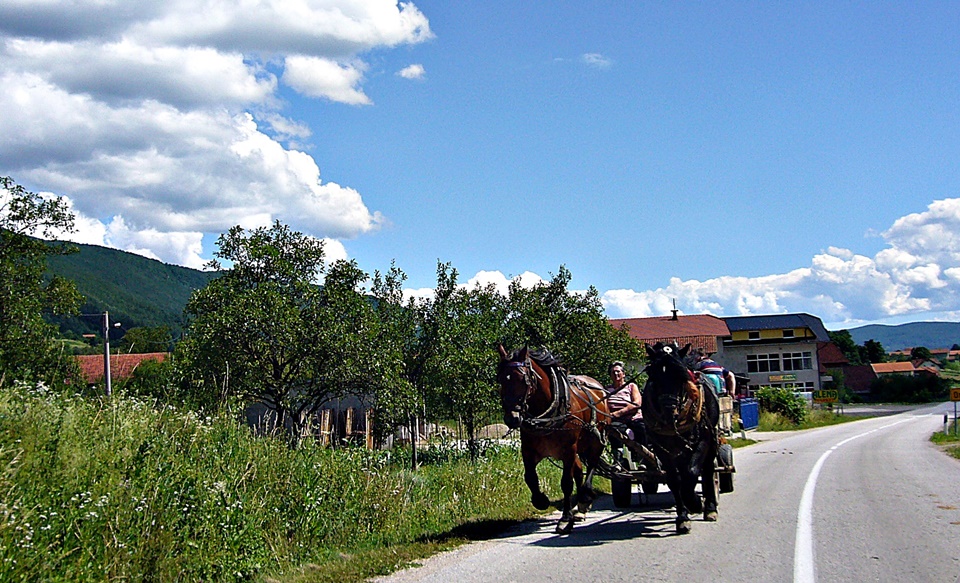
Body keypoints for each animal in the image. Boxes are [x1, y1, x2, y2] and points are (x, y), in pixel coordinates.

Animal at [498, 346, 612, 532]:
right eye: (500, 379)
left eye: (523, 379)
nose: (512, 418)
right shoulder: (528, 450)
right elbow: (530, 477)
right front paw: (541, 500)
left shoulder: (568, 449)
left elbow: (566, 483)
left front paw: (565, 519)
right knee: (579, 470)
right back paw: (580, 508)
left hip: (595, 441)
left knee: (592, 466)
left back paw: (585, 498)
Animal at [636, 340, 720, 536]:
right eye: (653, 375)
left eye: (681, 376)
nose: (669, 413)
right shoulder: (662, 448)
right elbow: (675, 480)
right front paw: (682, 517)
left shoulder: (703, 440)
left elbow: (693, 472)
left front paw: (696, 503)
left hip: (711, 440)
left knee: (708, 470)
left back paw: (710, 507)